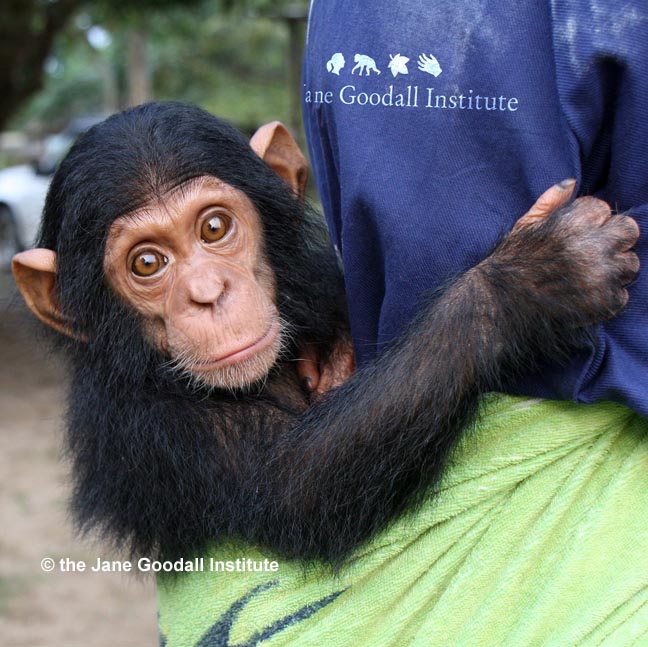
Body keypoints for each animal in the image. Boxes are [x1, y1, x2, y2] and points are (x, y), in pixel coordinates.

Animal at [11, 102, 639, 566]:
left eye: (213, 227)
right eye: (147, 263)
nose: (208, 293)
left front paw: (333, 352)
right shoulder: (144, 423)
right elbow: (296, 487)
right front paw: (530, 281)